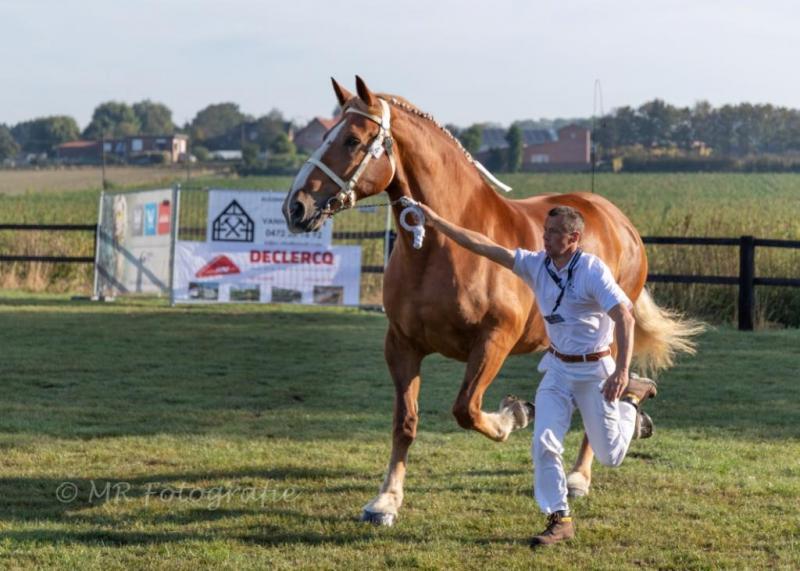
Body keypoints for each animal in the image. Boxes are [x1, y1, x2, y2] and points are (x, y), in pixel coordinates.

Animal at [282, 76, 700, 528]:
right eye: (325, 136)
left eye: (353, 140)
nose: (295, 207)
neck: (441, 251)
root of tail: (619, 221)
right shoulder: (402, 345)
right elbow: (405, 422)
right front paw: (386, 501)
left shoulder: (493, 342)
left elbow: (467, 409)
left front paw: (515, 415)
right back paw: (639, 408)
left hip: (605, 337)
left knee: (603, 401)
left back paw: (581, 474)